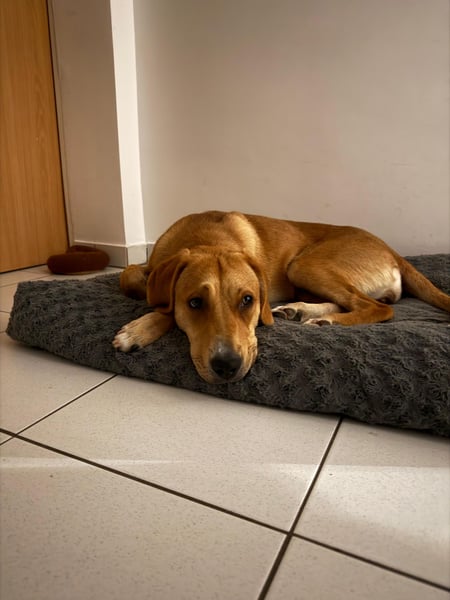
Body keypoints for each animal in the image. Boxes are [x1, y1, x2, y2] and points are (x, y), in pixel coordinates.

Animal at [113, 210, 450, 384]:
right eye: (195, 303)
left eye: (247, 300)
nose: (228, 366)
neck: (205, 238)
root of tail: (392, 250)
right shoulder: (150, 267)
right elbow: (129, 276)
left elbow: (163, 307)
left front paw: (138, 329)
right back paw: (304, 312)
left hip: (303, 265)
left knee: (377, 308)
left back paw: (326, 320)